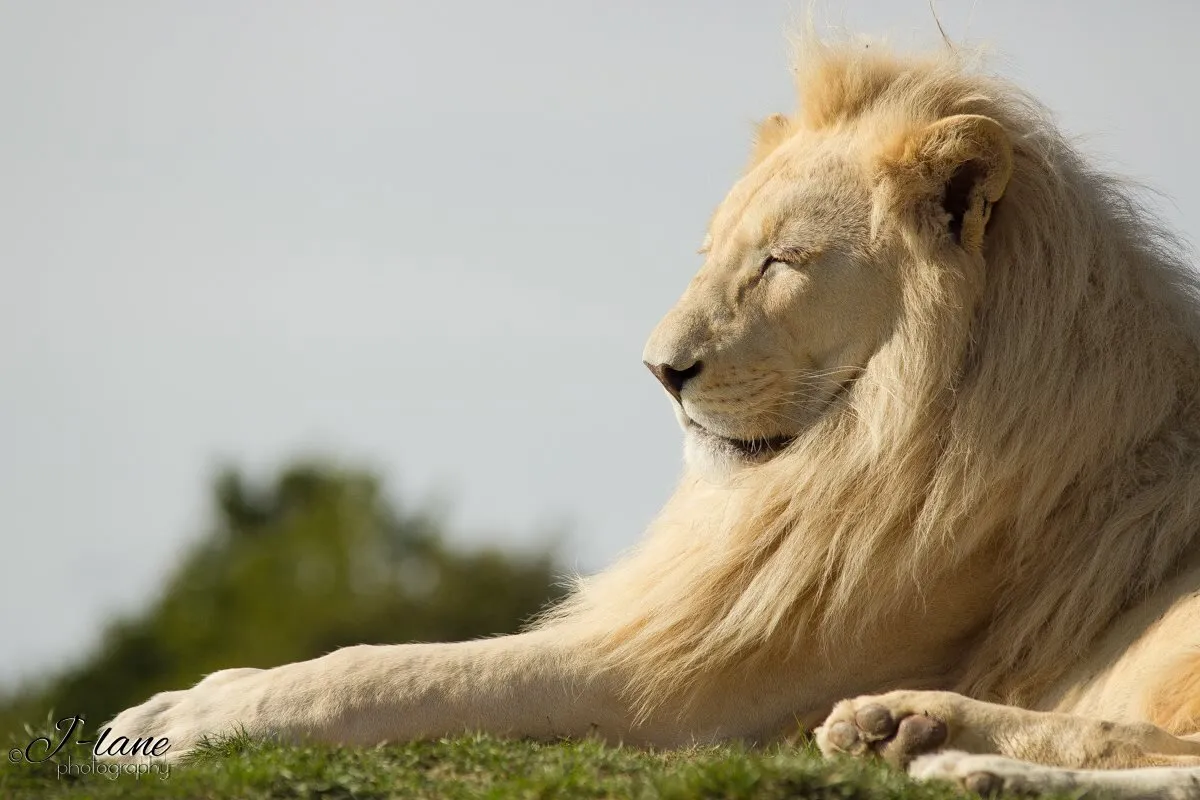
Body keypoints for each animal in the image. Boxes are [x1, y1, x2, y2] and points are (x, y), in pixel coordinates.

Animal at [104, 35, 1200, 797]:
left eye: (781, 262)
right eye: (712, 253)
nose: (660, 371)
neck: (854, 451)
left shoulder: (688, 681)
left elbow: (399, 670)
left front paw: (183, 716)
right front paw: (188, 697)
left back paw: (965, 762)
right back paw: (909, 732)